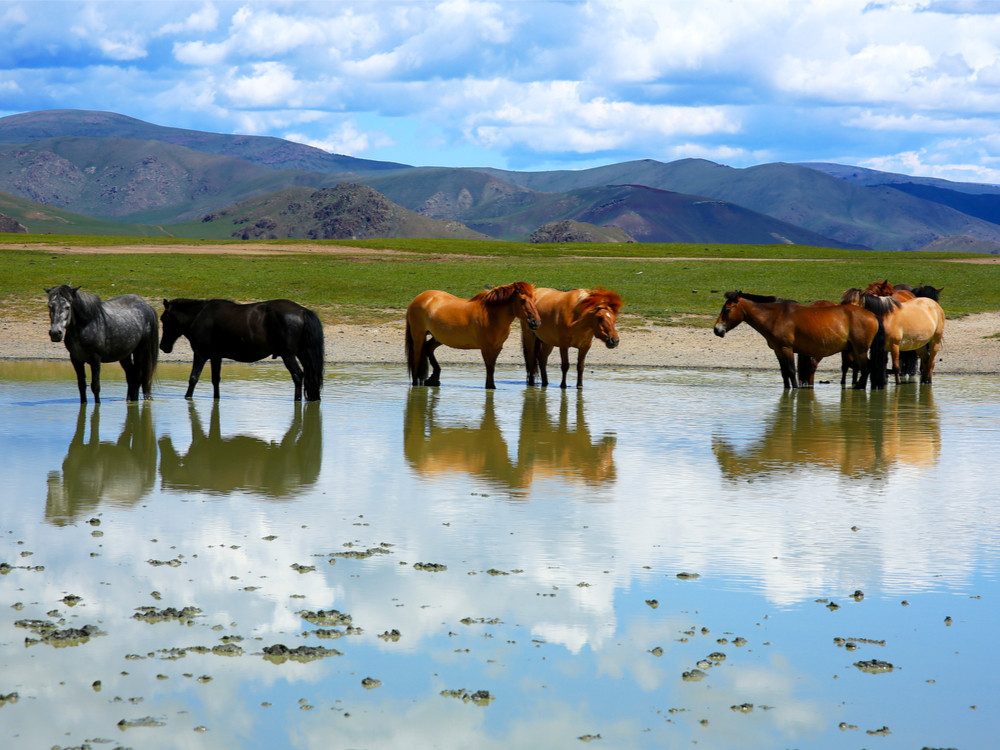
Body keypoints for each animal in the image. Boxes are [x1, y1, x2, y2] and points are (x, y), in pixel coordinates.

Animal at [159, 298, 324, 402]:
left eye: (163, 319)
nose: (163, 346)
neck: (199, 317)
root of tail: (302, 311)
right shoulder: (216, 356)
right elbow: (215, 380)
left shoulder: (200, 353)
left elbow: (193, 378)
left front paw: (187, 397)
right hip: (303, 354)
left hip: (288, 355)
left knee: (298, 375)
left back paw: (297, 400)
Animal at [404, 280, 540, 390]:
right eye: (522, 300)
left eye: (534, 299)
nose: (536, 322)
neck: (491, 315)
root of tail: (419, 298)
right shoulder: (486, 348)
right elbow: (490, 369)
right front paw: (490, 387)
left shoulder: (496, 348)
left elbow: (492, 369)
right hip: (418, 335)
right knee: (416, 358)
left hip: (438, 337)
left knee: (428, 348)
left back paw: (434, 378)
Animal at [712, 290, 876, 390]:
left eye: (727, 309)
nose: (716, 330)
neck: (775, 317)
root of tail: (872, 316)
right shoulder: (778, 351)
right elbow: (784, 373)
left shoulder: (787, 348)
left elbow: (791, 371)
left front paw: (795, 390)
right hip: (854, 350)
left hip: (860, 350)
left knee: (865, 368)